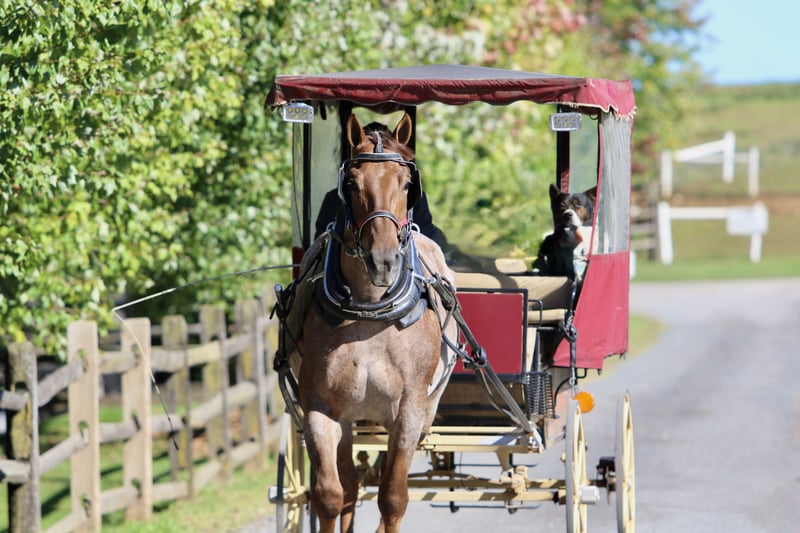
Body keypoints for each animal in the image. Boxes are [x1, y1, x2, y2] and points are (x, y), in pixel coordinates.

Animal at [286, 112, 456, 533]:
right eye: (351, 184)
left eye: (407, 184)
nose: (384, 261)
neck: (368, 312)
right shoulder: (321, 410)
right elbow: (330, 496)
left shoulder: (409, 413)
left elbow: (393, 498)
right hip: (349, 417)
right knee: (349, 485)